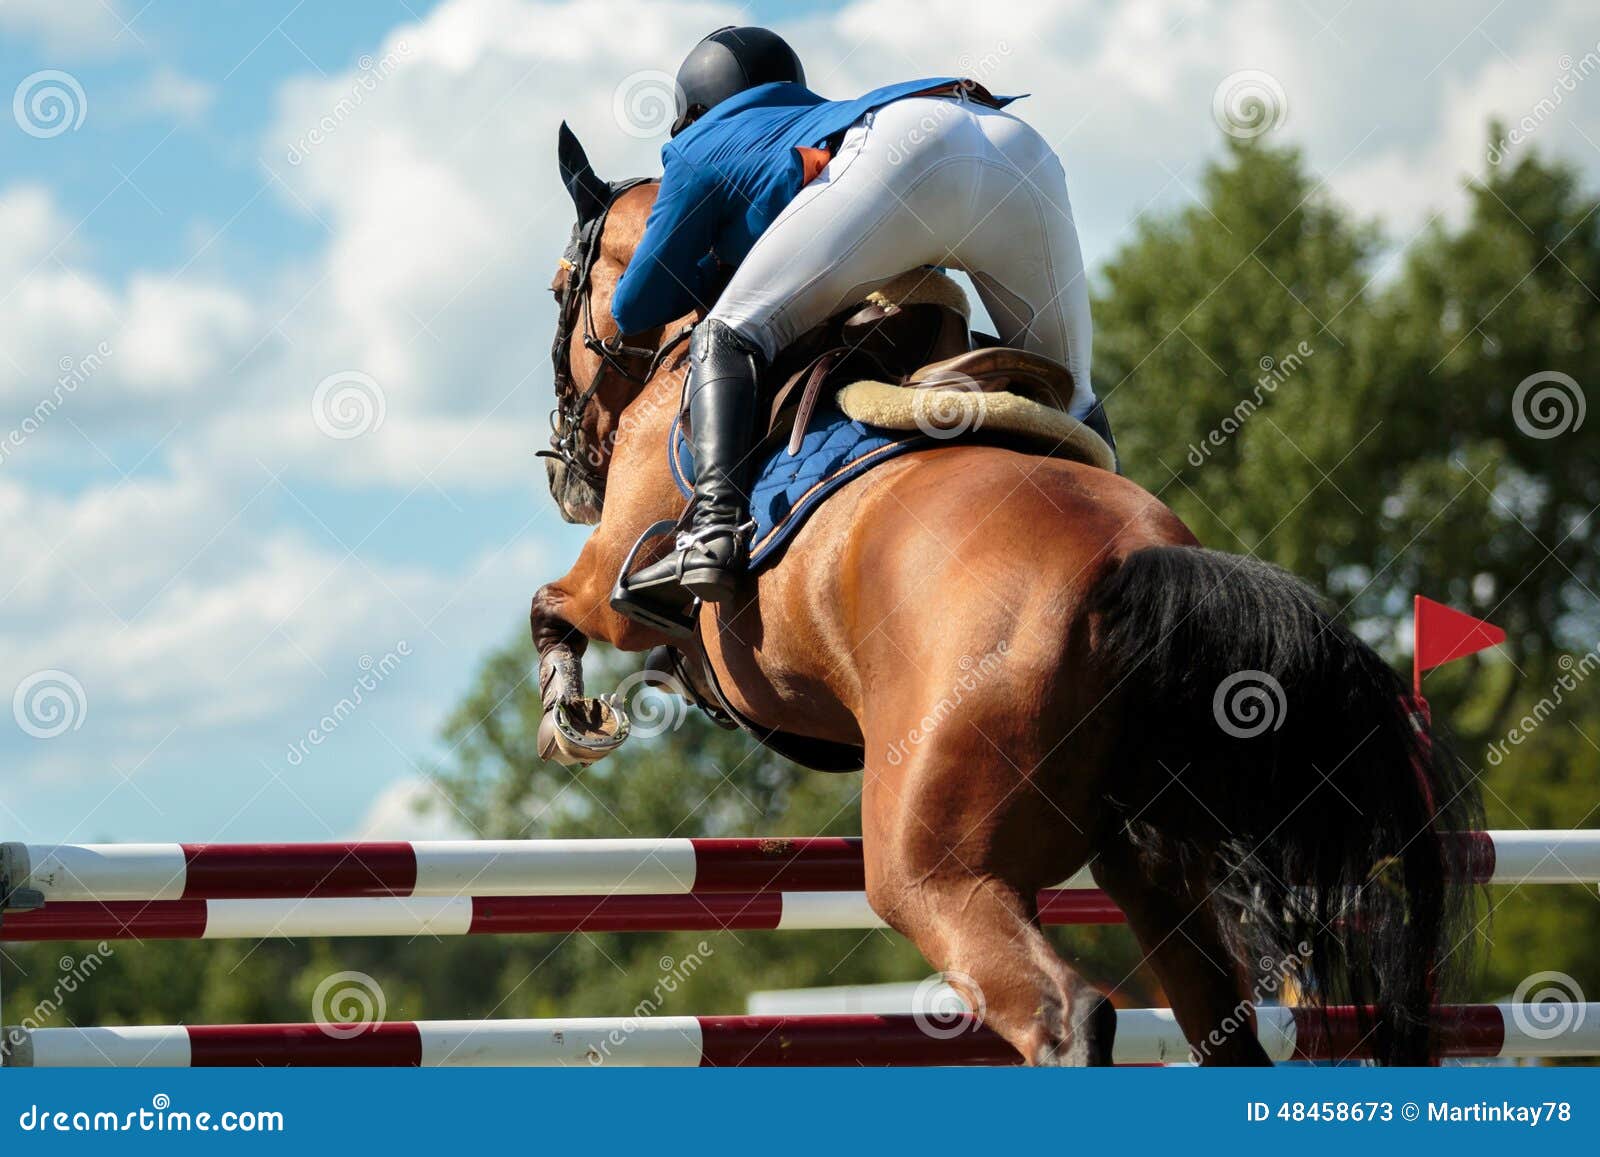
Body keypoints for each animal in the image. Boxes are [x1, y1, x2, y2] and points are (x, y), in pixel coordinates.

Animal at [531, 128, 1478, 1068]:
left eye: (559, 286)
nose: (563, 469)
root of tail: (1128, 565)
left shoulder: (614, 573)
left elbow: (556, 605)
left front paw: (570, 716)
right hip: (1156, 865)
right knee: (1219, 1027)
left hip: (932, 870)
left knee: (1068, 1014)